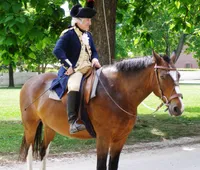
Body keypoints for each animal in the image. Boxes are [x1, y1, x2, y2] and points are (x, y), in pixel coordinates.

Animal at [19, 51, 184, 169]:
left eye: (178, 75)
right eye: (163, 76)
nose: (178, 107)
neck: (118, 92)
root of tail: (29, 82)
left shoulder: (120, 139)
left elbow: (113, 165)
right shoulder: (103, 138)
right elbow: (101, 166)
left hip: (50, 128)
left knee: (43, 152)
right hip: (30, 127)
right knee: (29, 153)